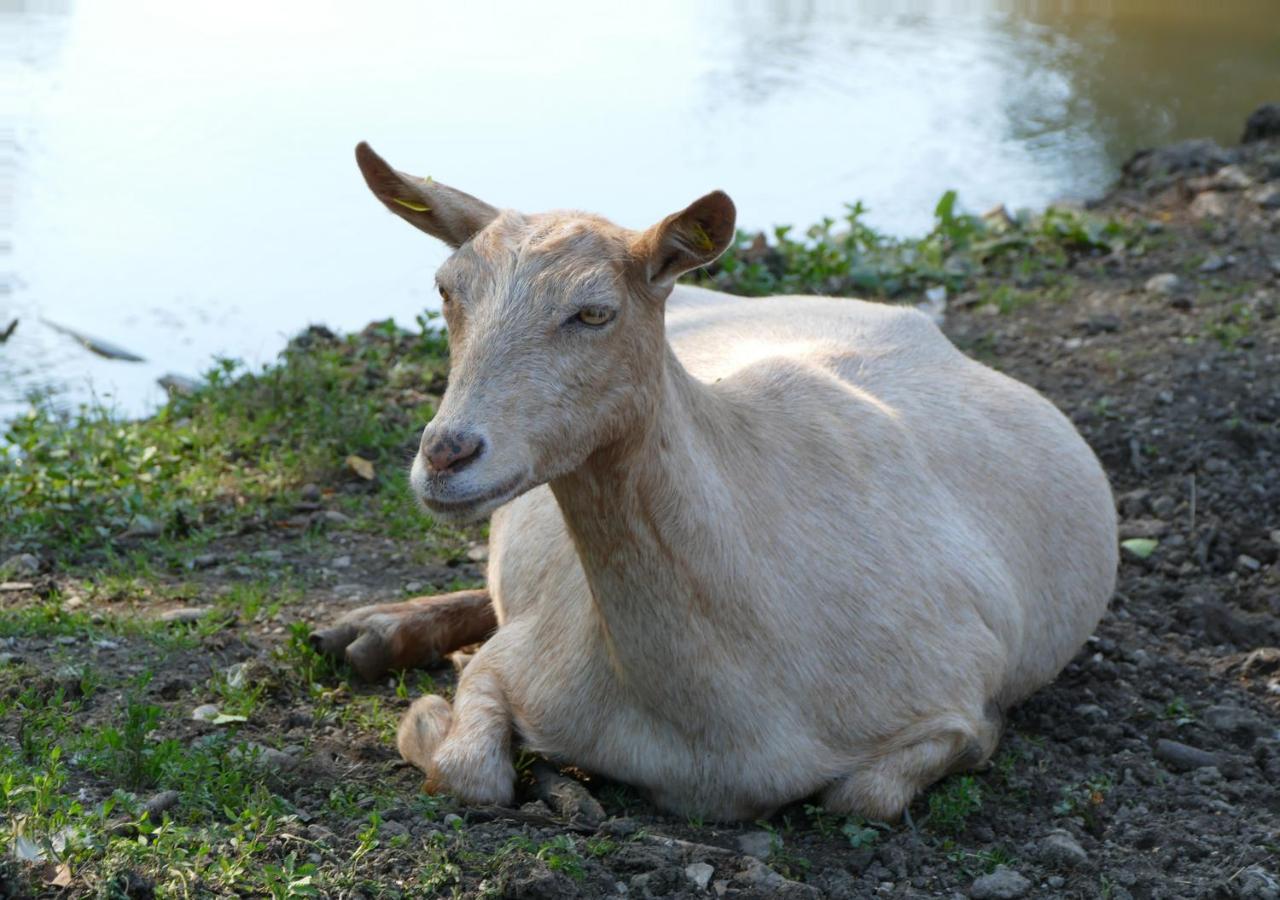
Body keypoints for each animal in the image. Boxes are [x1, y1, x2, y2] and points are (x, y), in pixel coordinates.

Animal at [314, 142, 1116, 824]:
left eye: (594, 312)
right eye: (446, 290)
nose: (446, 454)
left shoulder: (954, 696)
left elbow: (866, 796)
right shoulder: (524, 651)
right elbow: (468, 773)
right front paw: (429, 708)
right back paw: (366, 631)